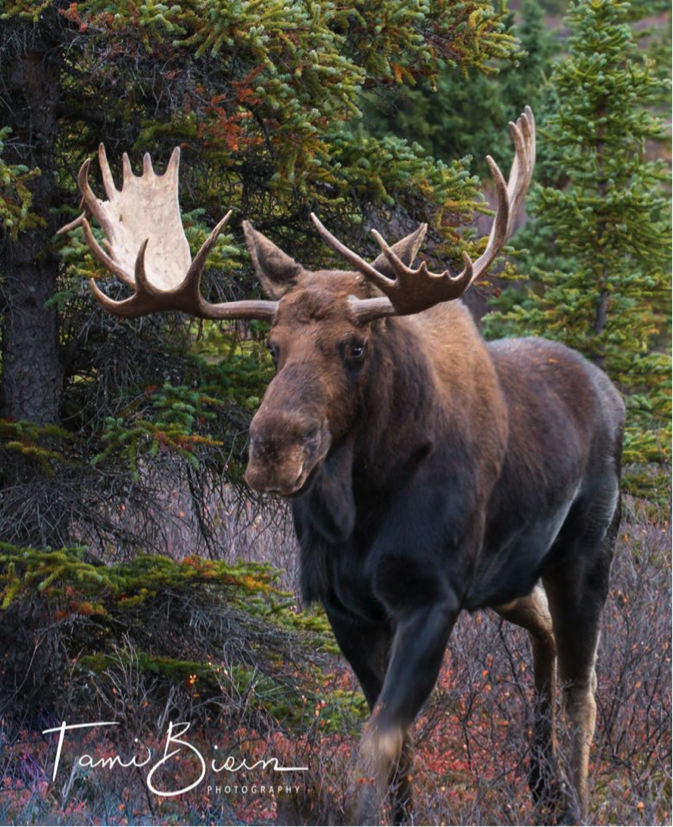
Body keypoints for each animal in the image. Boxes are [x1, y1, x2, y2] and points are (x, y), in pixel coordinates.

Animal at [61, 106, 624, 824]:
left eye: (354, 346)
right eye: (272, 345)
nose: (272, 449)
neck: (361, 504)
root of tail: (613, 395)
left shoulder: (431, 596)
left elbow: (376, 740)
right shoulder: (346, 606)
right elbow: (397, 744)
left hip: (584, 554)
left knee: (585, 687)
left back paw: (571, 797)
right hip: (507, 576)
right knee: (545, 631)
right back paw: (540, 784)